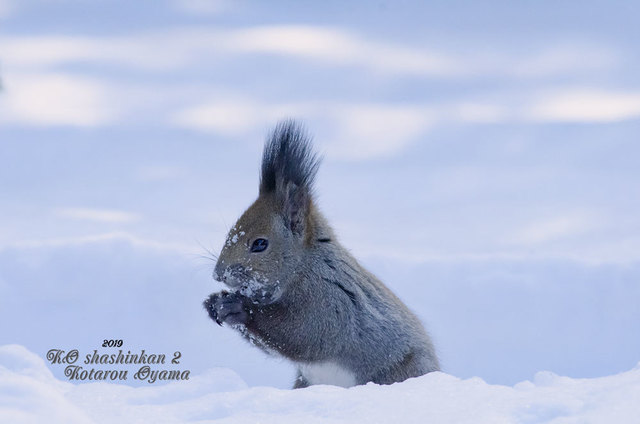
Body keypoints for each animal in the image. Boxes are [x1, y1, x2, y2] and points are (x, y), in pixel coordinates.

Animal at [205, 119, 440, 388]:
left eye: (260, 244)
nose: (218, 274)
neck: (301, 269)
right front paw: (214, 303)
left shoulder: (329, 301)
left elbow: (301, 334)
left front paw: (239, 307)